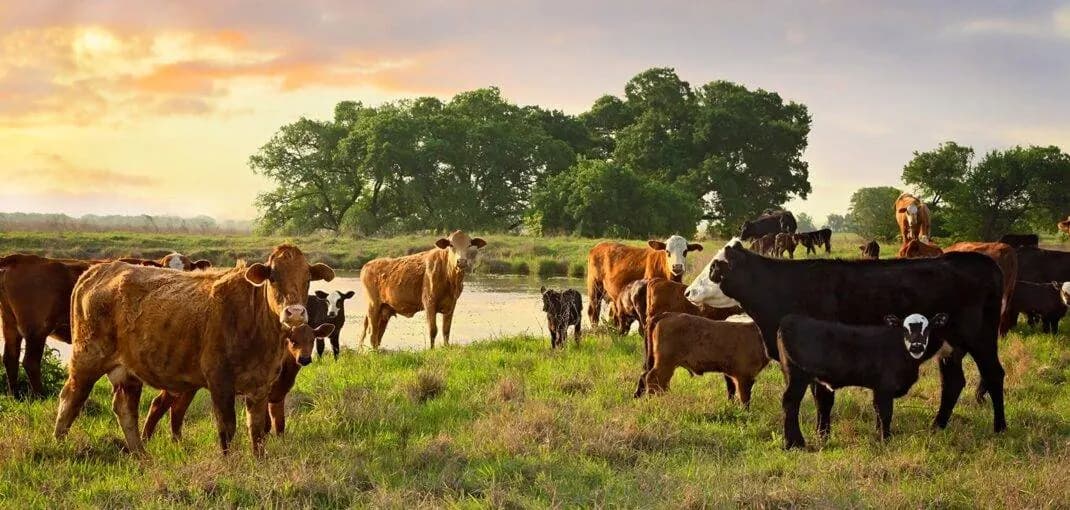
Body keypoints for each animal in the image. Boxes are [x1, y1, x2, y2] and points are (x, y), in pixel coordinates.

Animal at [0, 254, 95, 397]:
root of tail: (21, 258)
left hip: (10, 325)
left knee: (10, 358)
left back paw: (14, 395)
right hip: (36, 330)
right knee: (30, 361)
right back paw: (41, 394)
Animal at [142, 323, 335, 441]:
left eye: (312, 339)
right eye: (292, 340)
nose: (304, 358)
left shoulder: (279, 395)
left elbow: (279, 423)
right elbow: (265, 424)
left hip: (189, 387)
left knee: (177, 409)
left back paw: (177, 441)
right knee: (159, 404)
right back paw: (146, 439)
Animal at [777, 312, 948, 449]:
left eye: (927, 329)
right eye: (905, 329)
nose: (916, 346)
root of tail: (789, 320)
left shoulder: (878, 388)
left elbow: (878, 413)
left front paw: (879, 436)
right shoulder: (884, 387)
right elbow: (885, 413)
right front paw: (885, 440)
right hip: (797, 376)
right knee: (790, 402)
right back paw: (794, 443)